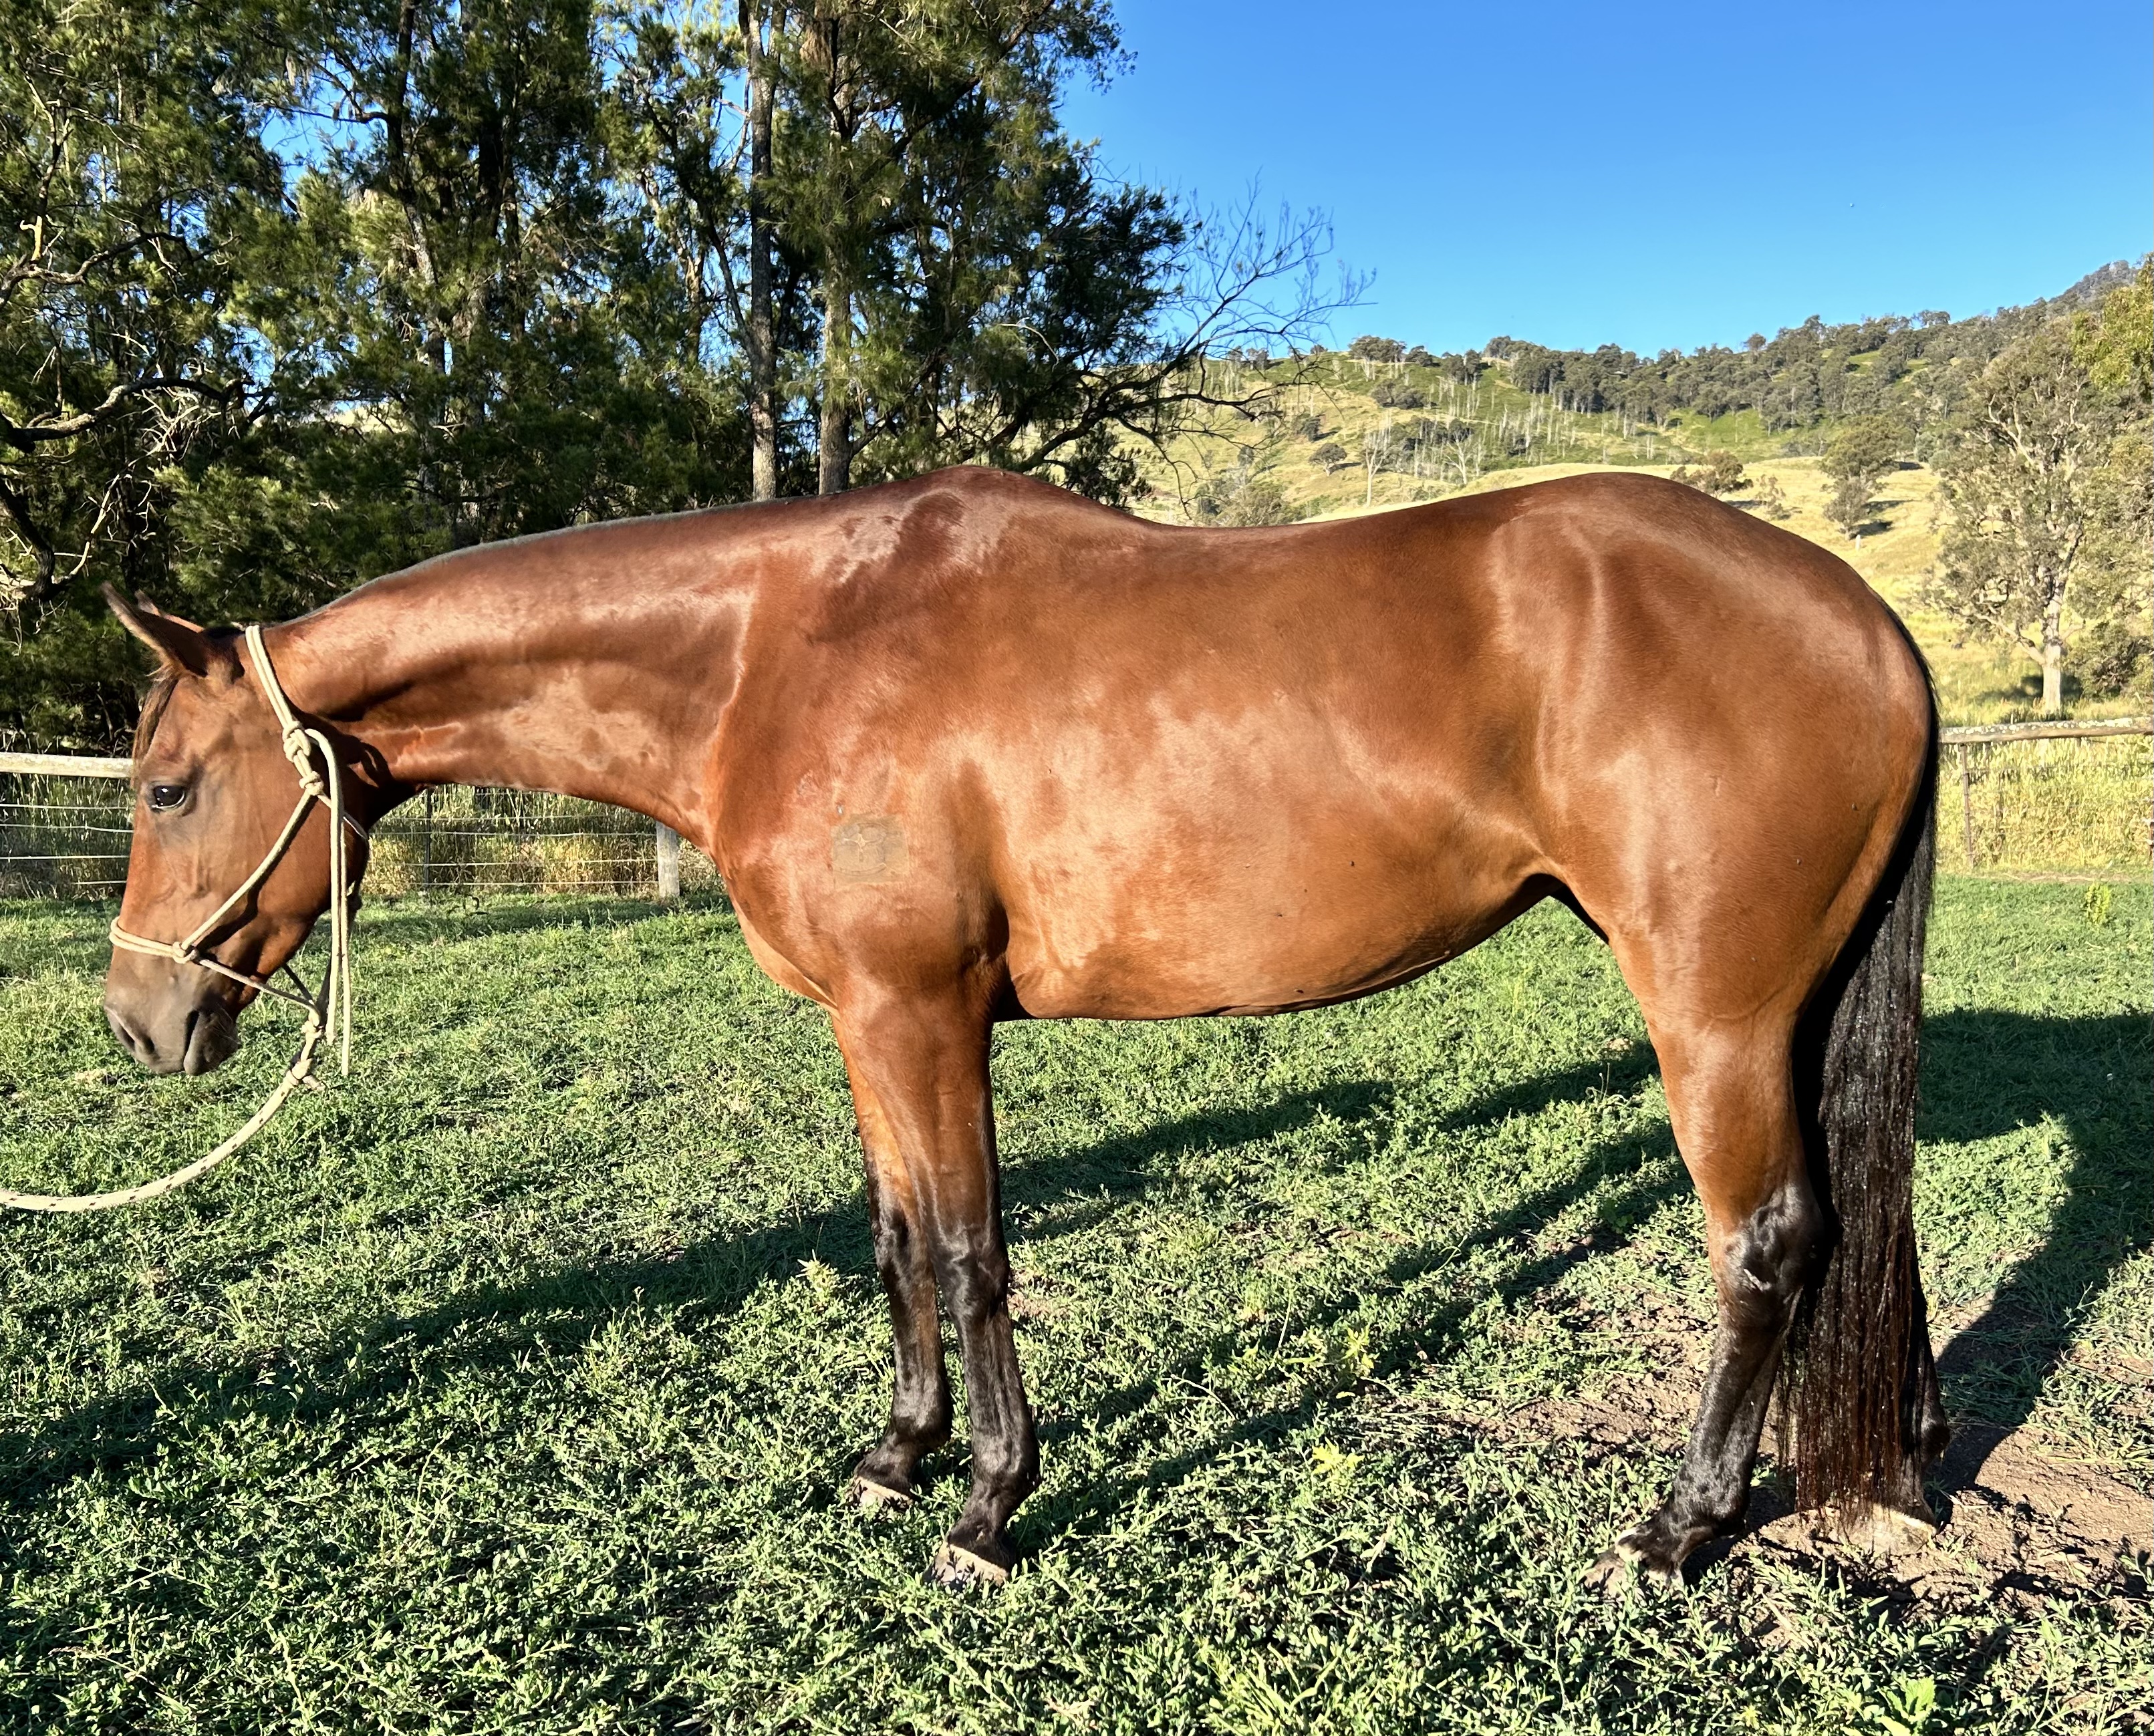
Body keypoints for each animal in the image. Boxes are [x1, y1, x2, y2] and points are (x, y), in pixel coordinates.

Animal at [99, 465, 1950, 1588]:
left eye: (168, 783)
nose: (137, 1023)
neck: (777, 648)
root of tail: (1866, 621)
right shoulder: (862, 1024)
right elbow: (894, 1239)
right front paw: (896, 1457)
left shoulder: (924, 1015)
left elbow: (972, 1248)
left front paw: (987, 1507)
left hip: (1716, 1017)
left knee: (1769, 1248)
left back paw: (1675, 1529)